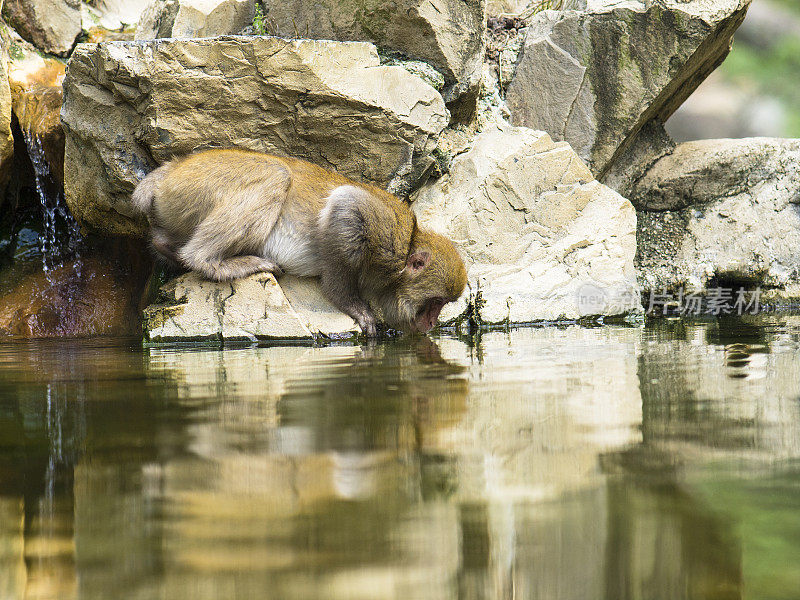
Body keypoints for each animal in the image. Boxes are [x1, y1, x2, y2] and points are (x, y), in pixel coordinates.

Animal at [131, 149, 468, 338]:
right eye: (436, 302)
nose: (432, 323)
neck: (409, 244)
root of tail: (170, 171)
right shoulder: (387, 240)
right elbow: (346, 206)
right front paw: (353, 304)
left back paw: (165, 247)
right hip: (194, 188)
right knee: (275, 174)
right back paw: (217, 262)